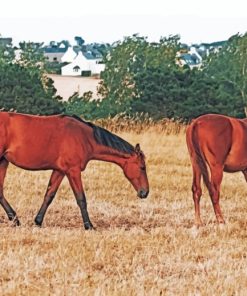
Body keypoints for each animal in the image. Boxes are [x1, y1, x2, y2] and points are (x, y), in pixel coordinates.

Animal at [0, 111, 149, 229]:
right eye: (142, 167)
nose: (145, 192)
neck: (85, 137)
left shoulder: (60, 171)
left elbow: (49, 195)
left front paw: (38, 221)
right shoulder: (73, 171)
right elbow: (81, 198)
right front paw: (89, 225)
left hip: (3, 161)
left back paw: (15, 220)